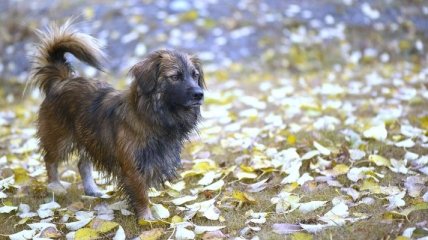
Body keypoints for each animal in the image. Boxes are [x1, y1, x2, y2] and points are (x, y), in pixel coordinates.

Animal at [29, 21, 204, 220]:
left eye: (195, 75)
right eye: (175, 76)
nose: (199, 94)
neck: (153, 116)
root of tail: (62, 80)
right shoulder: (132, 167)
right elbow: (141, 194)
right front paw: (146, 219)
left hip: (89, 137)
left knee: (82, 164)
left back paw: (91, 189)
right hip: (60, 138)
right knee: (50, 160)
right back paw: (55, 187)